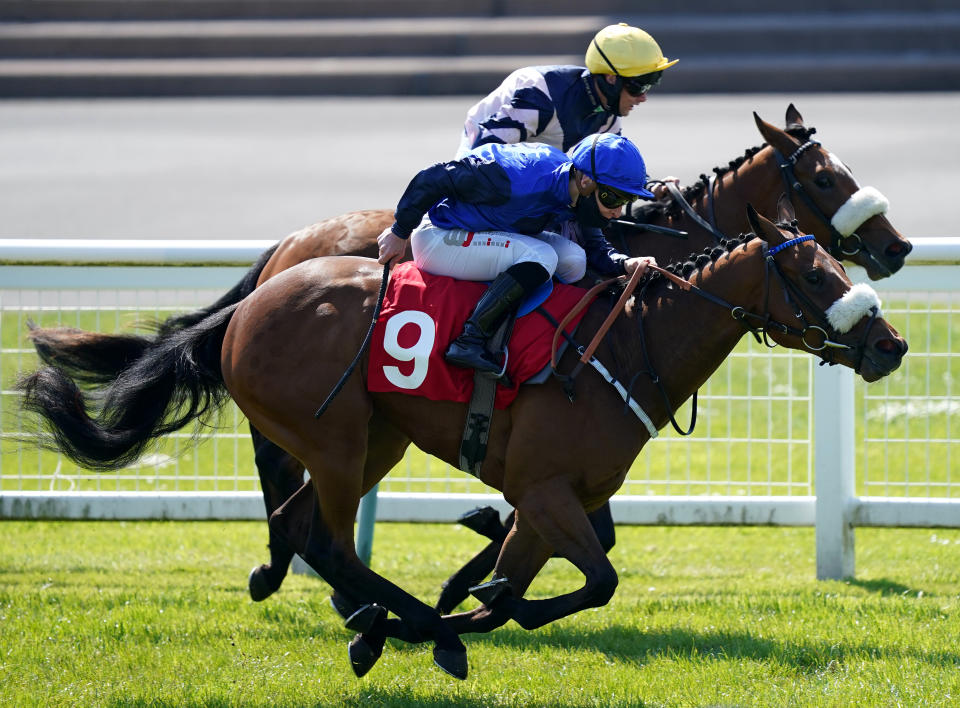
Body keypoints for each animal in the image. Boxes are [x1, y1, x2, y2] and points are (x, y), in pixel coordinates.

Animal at [20, 207, 908, 676]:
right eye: (817, 276)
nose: (891, 345)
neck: (627, 346)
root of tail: (246, 306)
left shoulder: (551, 501)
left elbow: (530, 585)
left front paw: (463, 598)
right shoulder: (545, 491)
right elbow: (596, 581)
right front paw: (446, 614)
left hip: (375, 437)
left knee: (302, 524)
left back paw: (385, 616)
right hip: (336, 436)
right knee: (324, 537)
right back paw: (404, 624)